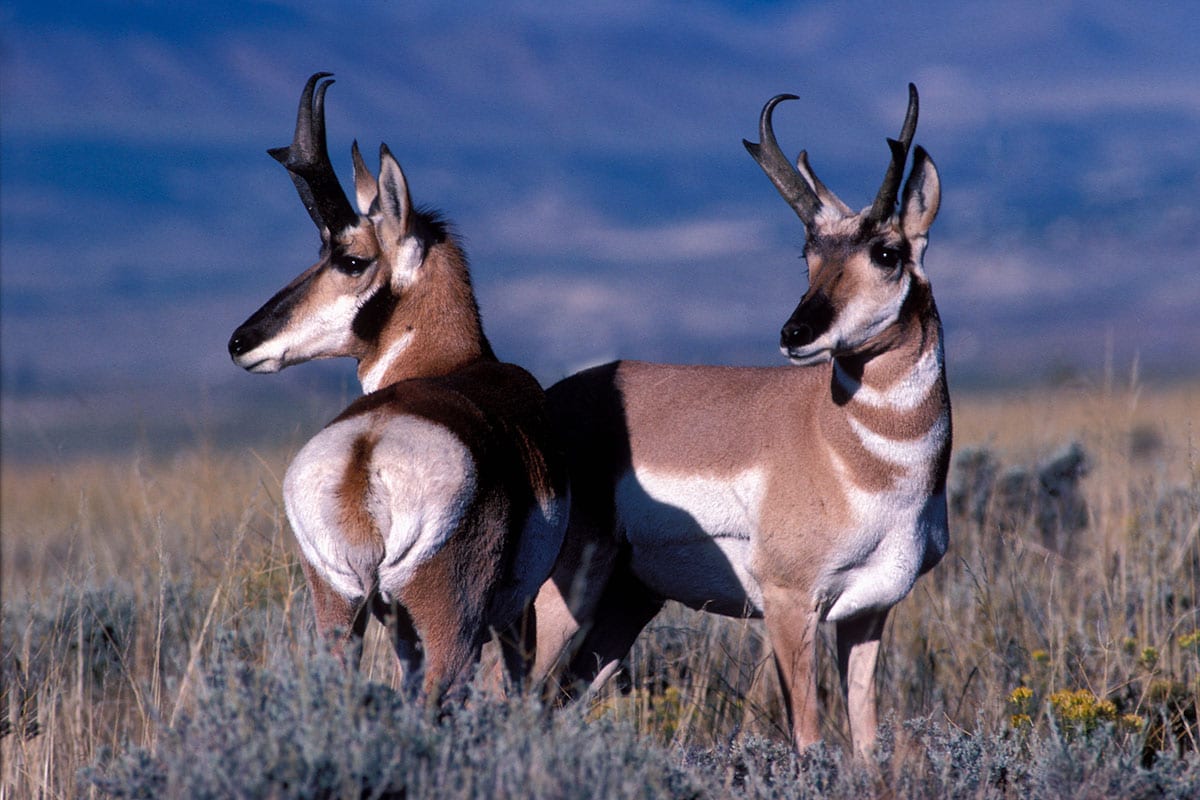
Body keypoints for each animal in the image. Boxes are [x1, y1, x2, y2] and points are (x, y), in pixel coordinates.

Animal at [228, 73, 569, 703]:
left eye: (349, 258)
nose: (241, 342)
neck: (451, 361)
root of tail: (368, 447)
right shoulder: (520, 611)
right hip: (449, 628)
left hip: (342, 613)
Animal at [530, 84, 949, 755]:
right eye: (808, 255)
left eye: (886, 253)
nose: (794, 334)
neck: (860, 455)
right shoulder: (790, 603)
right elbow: (808, 737)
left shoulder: (868, 613)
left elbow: (864, 740)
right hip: (561, 594)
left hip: (624, 605)